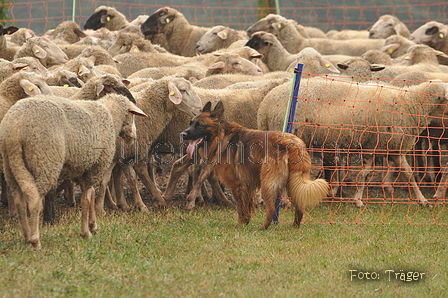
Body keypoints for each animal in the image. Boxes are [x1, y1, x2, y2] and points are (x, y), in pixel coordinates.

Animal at [179, 101, 328, 229]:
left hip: (267, 184)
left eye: (200, 125)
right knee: (299, 205)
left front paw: (240, 224)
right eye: (191, 123)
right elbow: (247, 206)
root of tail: (293, 144)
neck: (221, 136)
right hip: (293, 183)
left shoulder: (237, 185)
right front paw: (246, 222)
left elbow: (241, 208)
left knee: (272, 209)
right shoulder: (248, 185)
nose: (182, 134)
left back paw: (263, 228)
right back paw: (294, 227)